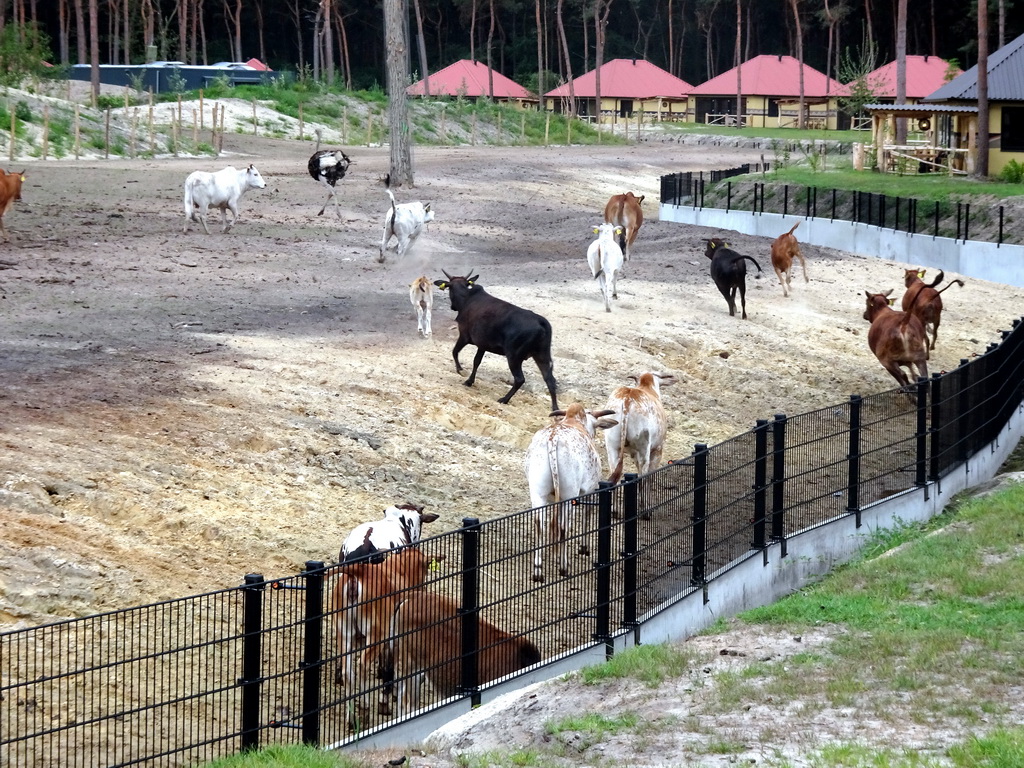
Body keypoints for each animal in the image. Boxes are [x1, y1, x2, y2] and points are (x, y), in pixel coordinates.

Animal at [432, 272, 561, 411]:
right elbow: (476, 361)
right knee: (550, 379)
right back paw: (555, 408)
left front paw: (460, 370)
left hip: (514, 356)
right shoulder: (482, 344)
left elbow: (455, 352)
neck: (466, 299)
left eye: (449, 288)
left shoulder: (464, 336)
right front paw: (469, 381)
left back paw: (504, 399)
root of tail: (542, 323)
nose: (452, 307)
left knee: (520, 379)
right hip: (542, 355)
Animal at [520, 405, 614, 581]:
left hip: (537, 494)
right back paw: (564, 567)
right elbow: (585, 518)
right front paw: (583, 548)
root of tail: (553, 439)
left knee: (540, 525)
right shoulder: (589, 489)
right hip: (569, 495)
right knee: (563, 526)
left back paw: (538, 571)